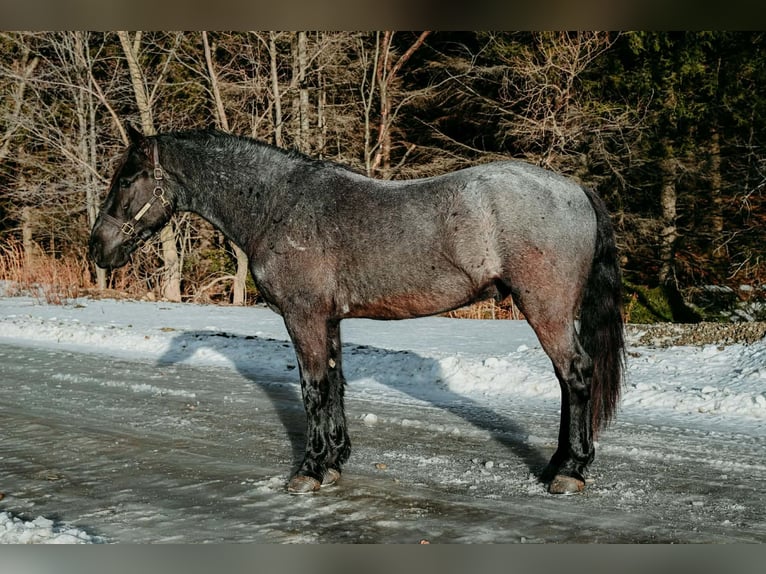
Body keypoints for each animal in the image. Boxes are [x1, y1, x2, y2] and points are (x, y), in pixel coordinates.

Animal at [89, 127, 625, 495]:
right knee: (568, 380)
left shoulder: (303, 317)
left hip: (546, 310)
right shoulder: (329, 320)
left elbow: (313, 389)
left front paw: (309, 471)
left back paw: (570, 472)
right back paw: (558, 464)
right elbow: (334, 383)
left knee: (575, 375)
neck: (278, 205)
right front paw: (334, 460)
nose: (98, 248)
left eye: (128, 178)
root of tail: (574, 189)